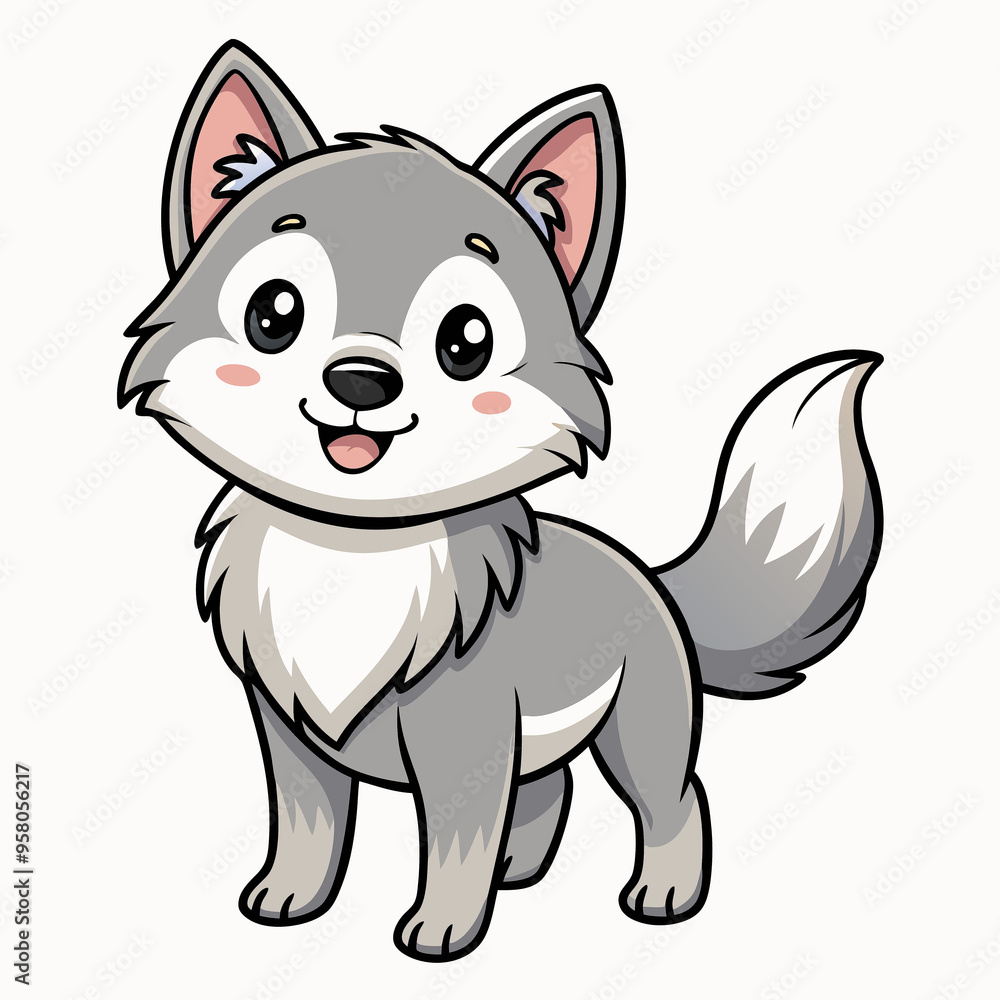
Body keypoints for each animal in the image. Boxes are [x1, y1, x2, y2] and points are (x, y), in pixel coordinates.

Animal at [119, 41, 883, 960]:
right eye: (275, 314)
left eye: (466, 340)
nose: (361, 380)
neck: (352, 553)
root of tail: (646, 572)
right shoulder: (290, 732)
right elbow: (311, 827)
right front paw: (289, 899)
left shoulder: (463, 738)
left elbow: (455, 839)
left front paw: (443, 929)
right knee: (551, 790)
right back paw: (520, 875)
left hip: (639, 733)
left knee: (675, 800)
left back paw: (663, 895)